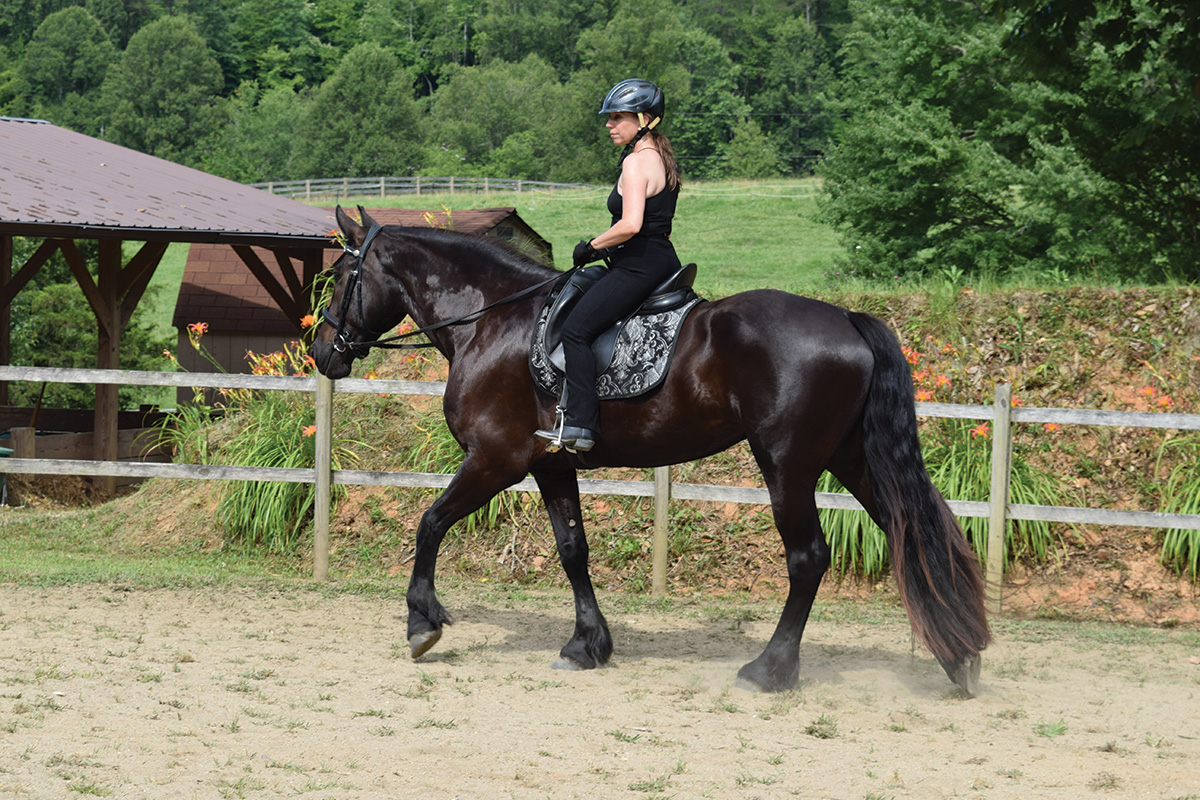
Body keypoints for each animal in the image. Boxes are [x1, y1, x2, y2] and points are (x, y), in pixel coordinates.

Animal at [314, 206, 988, 695]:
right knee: (914, 531)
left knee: (808, 559)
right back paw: (959, 657)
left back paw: (770, 671)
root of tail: (847, 319)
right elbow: (573, 551)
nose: (323, 352)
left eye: (341, 278)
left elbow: (429, 523)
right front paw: (587, 646)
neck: (491, 319)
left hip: (788, 464)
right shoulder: (551, 464)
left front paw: (421, 623)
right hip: (850, 459)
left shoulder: (495, 460)